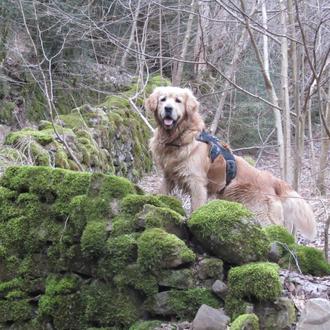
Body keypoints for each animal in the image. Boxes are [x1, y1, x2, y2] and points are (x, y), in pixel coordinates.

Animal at [147, 86, 318, 238]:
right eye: (163, 99)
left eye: (178, 100)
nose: (168, 108)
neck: (179, 138)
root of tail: (271, 178)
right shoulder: (168, 176)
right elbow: (161, 193)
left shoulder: (197, 183)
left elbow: (196, 208)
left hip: (262, 214)